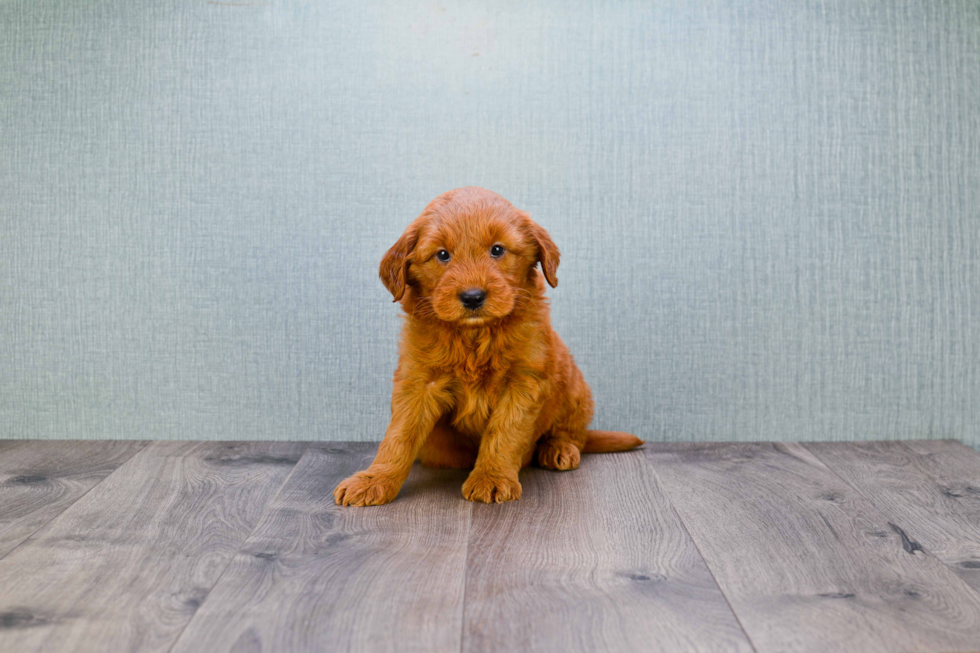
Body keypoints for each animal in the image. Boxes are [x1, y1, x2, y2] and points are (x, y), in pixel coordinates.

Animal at [334, 186, 644, 506]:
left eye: (497, 250)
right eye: (442, 255)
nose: (472, 297)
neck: (475, 336)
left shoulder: (523, 381)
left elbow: (505, 432)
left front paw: (492, 478)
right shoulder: (418, 382)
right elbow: (398, 436)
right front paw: (375, 479)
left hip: (575, 389)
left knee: (574, 433)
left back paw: (558, 448)